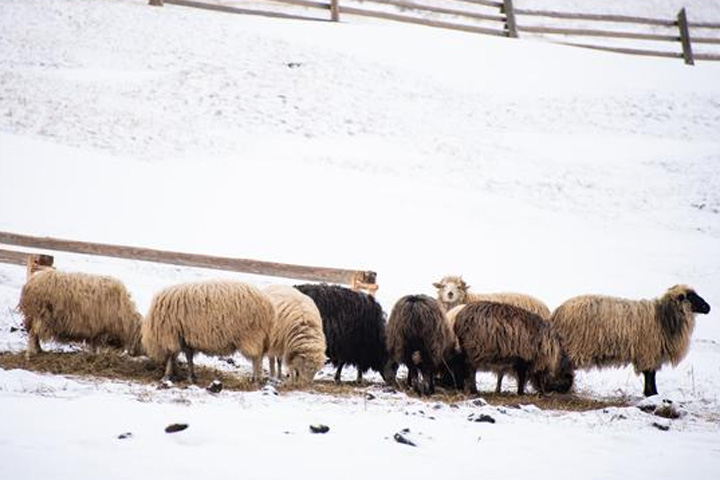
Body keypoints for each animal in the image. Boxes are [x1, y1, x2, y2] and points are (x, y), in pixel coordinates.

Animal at [142, 280, 278, 384]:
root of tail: (268, 305)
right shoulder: (186, 339)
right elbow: (189, 358)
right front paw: (191, 376)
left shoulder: (172, 335)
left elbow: (171, 357)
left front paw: (166, 376)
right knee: (258, 358)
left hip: (251, 335)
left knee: (257, 358)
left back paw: (256, 379)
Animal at [548, 284, 712, 396]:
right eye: (691, 296)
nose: (708, 307)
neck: (663, 317)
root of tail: (557, 312)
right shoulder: (649, 352)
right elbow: (650, 374)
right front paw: (652, 394)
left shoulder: (649, 353)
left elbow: (650, 375)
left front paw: (650, 393)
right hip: (572, 345)